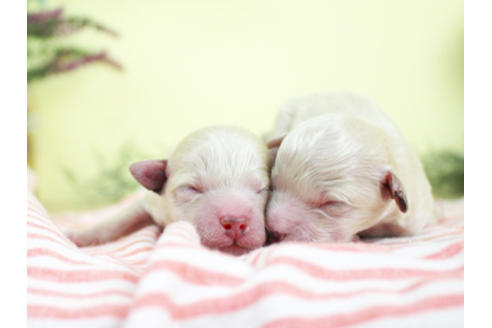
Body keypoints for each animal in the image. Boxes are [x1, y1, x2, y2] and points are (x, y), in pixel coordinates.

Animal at [65, 127, 270, 255]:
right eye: (192, 189)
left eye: (262, 189)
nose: (235, 222)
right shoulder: (151, 203)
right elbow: (119, 221)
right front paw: (80, 236)